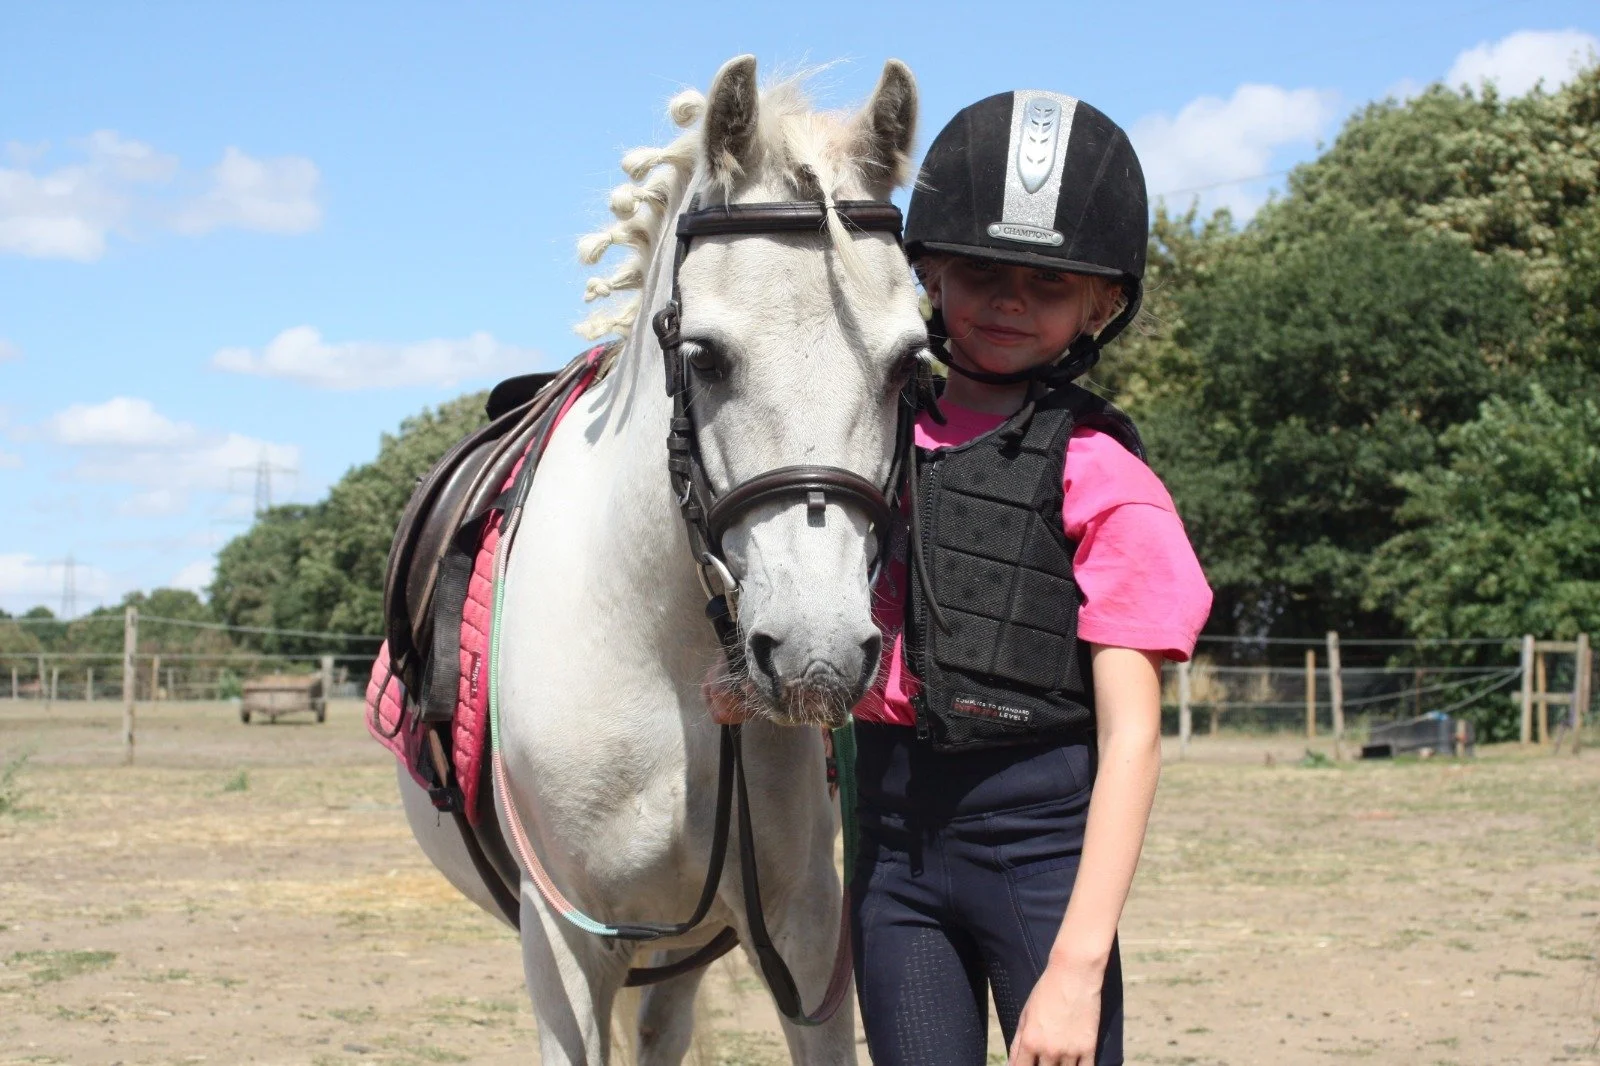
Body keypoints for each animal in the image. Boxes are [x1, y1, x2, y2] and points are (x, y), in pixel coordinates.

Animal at [395, 55, 924, 1064]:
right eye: (706, 357)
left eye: (911, 364)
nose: (820, 653)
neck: (666, 666)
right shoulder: (565, 946)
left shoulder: (806, 933)